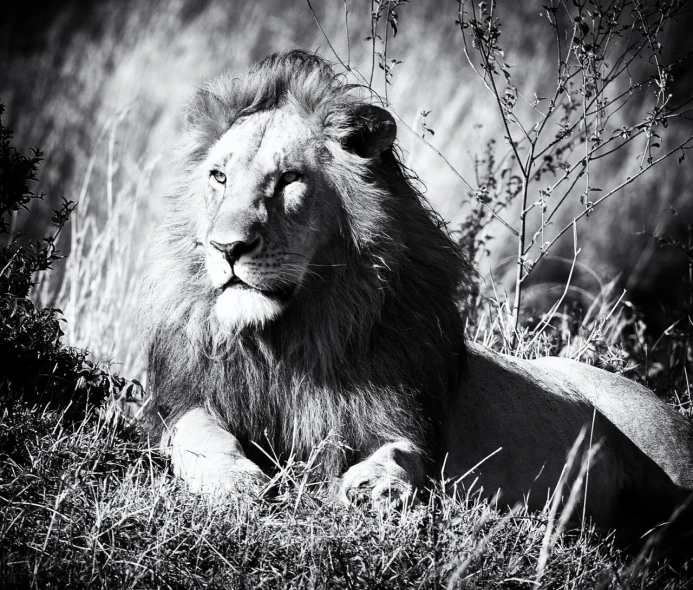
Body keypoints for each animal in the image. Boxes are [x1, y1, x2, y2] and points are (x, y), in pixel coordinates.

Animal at [141, 51, 692, 552]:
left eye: (290, 179)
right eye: (218, 177)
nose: (226, 247)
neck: (291, 335)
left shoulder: (407, 418)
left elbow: (404, 452)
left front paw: (374, 486)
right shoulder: (187, 397)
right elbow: (198, 433)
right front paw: (234, 482)